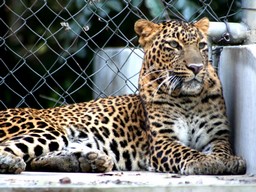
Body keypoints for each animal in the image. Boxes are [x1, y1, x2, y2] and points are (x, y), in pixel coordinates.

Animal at [0, 17, 246, 174]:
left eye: (202, 45)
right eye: (173, 45)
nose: (196, 68)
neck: (187, 99)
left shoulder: (218, 136)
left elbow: (222, 150)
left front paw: (227, 161)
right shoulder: (162, 141)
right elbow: (186, 152)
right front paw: (207, 162)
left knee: (35, 159)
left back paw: (87, 161)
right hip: (49, 130)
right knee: (13, 151)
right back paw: (10, 162)